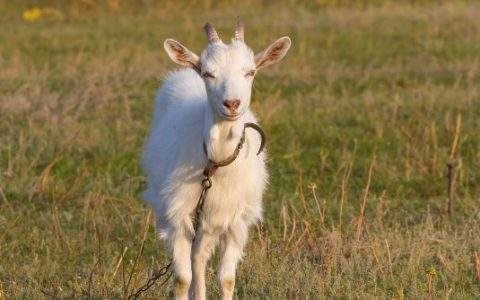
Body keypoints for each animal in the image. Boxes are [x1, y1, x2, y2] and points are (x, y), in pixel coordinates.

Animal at [142, 21, 290, 300]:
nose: (232, 103)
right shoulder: (178, 214)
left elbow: (227, 279)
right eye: (208, 73)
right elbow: (181, 279)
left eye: (250, 72)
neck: (216, 163)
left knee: (199, 256)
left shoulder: (236, 220)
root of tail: (184, 72)